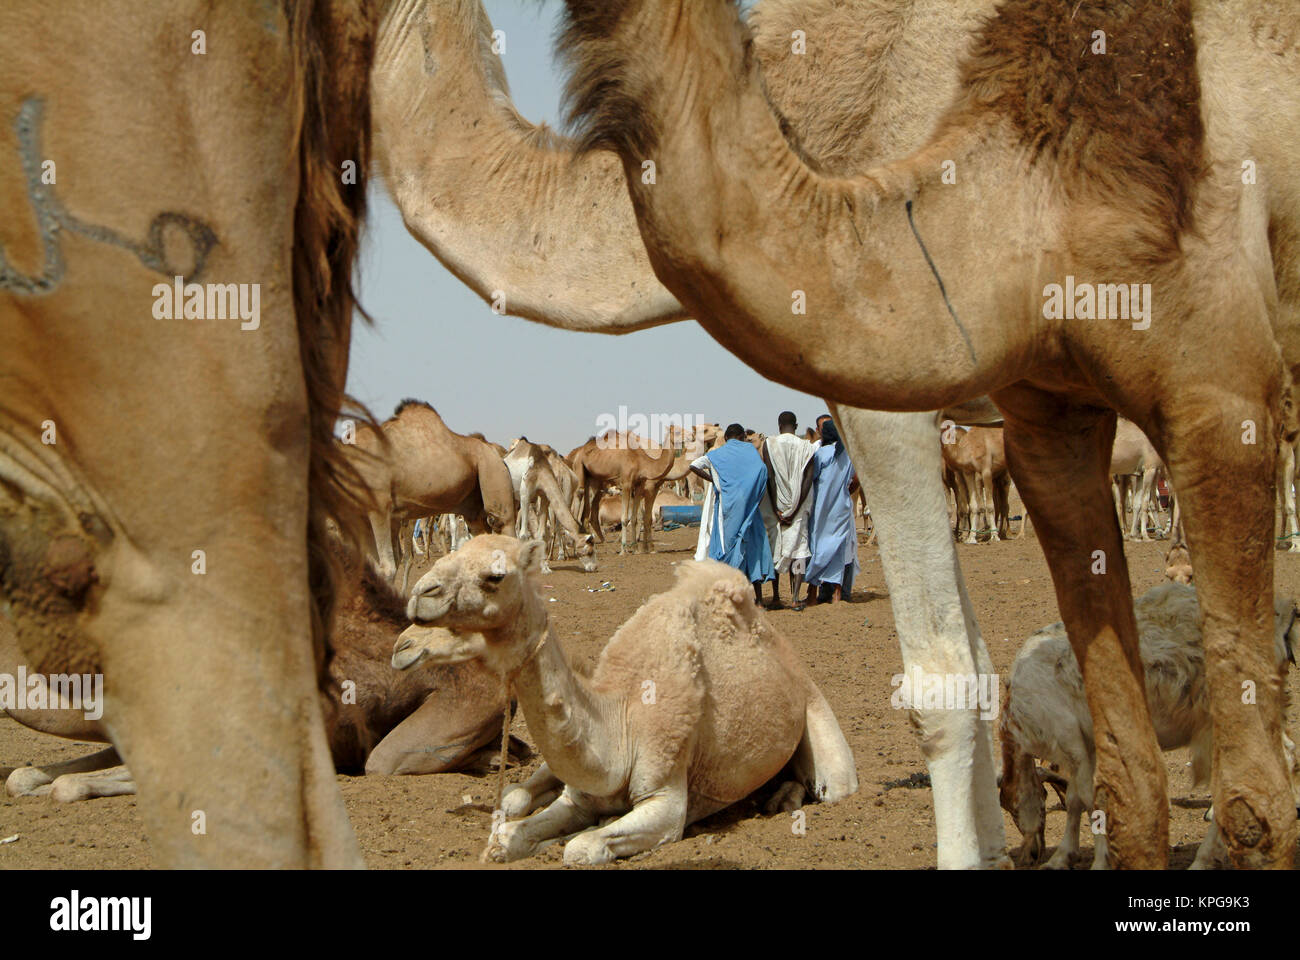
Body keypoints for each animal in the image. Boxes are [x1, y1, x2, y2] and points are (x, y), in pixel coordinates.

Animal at [353, 398, 520, 580]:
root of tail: (500, 457)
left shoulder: (378, 507)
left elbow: (386, 569)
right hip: (474, 512)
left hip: (493, 475)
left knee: (503, 525)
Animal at [395, 535, 863, 863]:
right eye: (452, 552)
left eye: (495, 576)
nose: (420, 595)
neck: (622, 722)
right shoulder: (579, 794)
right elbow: (511, 835)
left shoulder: (666, 800)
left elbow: (581, 848)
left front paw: (574, 838)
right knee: (518, 794)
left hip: (819, 721)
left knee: (832, 783)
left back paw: (782, 800)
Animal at [499, 437, 595, 572]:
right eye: (590, 551)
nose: (594, 567)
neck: (539, 470)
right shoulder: (525, 494)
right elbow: (524, 534)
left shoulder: (544, 496)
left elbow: (542, 534)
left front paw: (545, 568)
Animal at [998, 580, 1294, 868]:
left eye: (1011, 806)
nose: (1028, 855)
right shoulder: (1085, 745)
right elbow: (1075, 799)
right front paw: (1063, 857)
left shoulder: (1067, 737)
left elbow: (1089, 798)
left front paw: (1097, 860)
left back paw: (1204, 859)